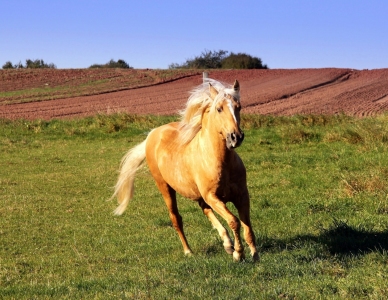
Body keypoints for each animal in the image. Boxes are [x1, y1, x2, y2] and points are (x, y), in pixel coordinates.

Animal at [110, 78, 260, 262]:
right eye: (219, 109)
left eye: (239, 107)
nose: (236, 137)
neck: (221, 162)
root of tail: (153, 134)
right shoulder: (213, 197)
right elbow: (234, 221)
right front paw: (239, 254)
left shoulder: (242, 195)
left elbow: (247, 225)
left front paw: (254, 254)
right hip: (165, 187)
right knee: (176, 218)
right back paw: (189, 251)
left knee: (204, 209)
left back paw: (227, 244)